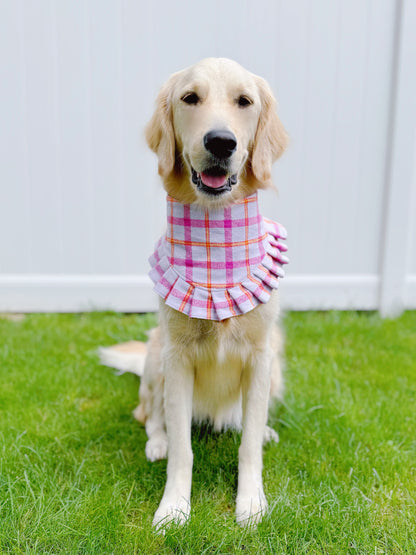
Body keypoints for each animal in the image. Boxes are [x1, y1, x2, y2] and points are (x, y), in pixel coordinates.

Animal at [101, 56, 290, 528]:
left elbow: (249, 446)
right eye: (190, 98)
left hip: (277, 365)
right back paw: (157, 442)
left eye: (244, 101)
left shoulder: (261, 356)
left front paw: (251, 504)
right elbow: (183, 451)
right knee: (148, 415)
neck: (216, 241)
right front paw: (173, 508)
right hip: (156, 358)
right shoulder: (178, 359)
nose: (221, 141)